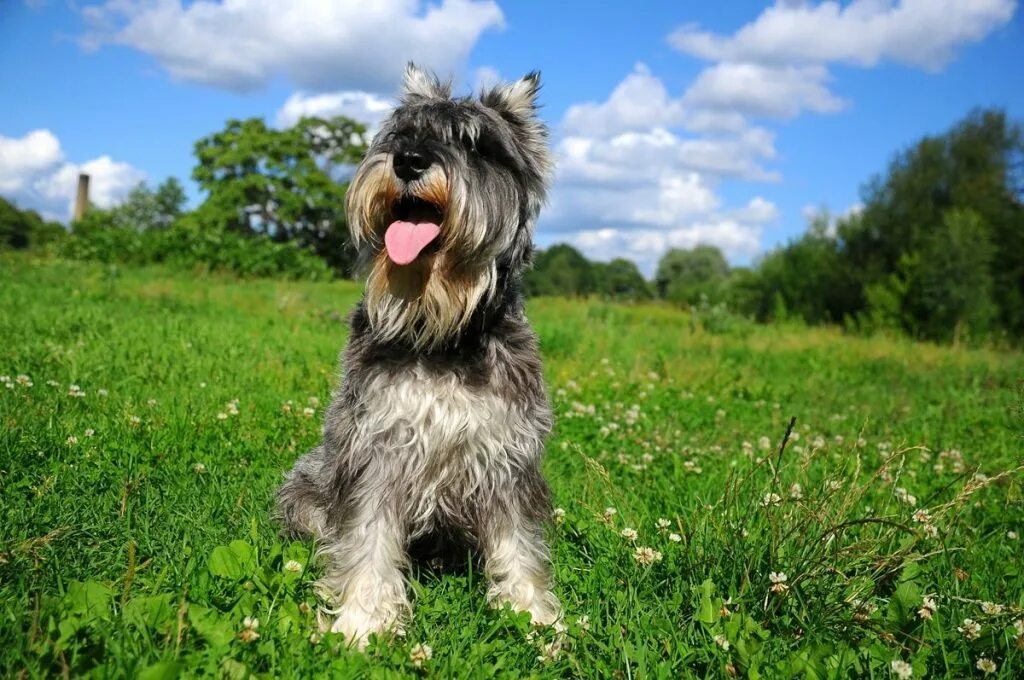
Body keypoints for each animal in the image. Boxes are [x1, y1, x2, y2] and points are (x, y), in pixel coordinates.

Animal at [276, 65, 561, 647]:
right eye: (401, 135)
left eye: (477, 144)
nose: (409, 160)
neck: (441, 332)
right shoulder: (377, 450)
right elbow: (366, 540)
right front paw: (361, 623)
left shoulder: (507, 456)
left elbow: (518, 542)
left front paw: (534, 617)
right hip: (307, 487)